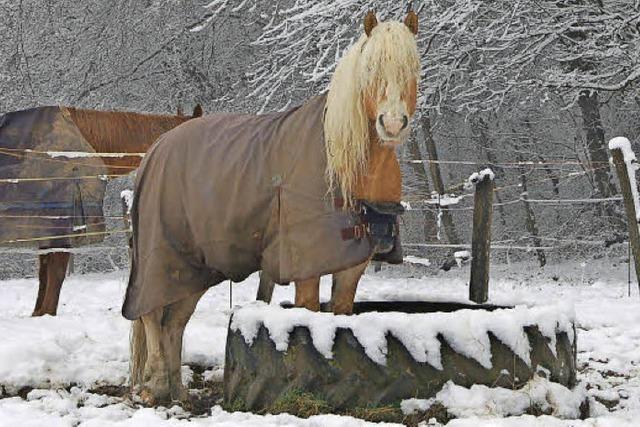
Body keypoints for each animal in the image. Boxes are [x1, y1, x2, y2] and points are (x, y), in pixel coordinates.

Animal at [128, 11, 422, 408]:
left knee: (173, 322)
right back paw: (156, 386)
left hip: (194, 268)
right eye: (370, 68)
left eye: (413, 68)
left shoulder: (351, 263)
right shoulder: (307, 263)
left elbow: (340, 314)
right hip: (162, 257)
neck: (348, 164)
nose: (391, 123)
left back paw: (178, 392)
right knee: (150, 313)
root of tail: (157, 147)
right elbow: (309, 315)